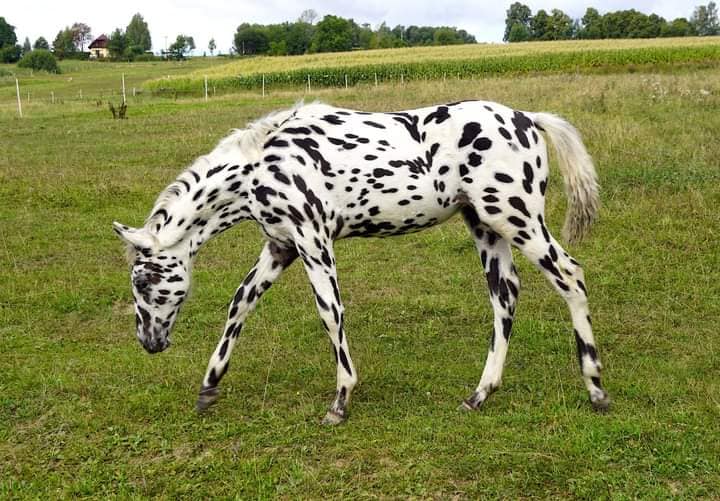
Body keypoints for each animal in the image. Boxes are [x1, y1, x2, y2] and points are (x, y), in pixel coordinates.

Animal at [115, 99, 612, 424]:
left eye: (143, 282)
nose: (149, 341)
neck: (261, 164)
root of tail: (529, 119)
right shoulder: (280, 247)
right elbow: (241, 303)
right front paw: (209, 386)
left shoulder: (313, 241)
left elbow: (330, 312)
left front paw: (340, 401)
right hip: (486, 226)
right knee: (505, 296)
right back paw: (480, 394)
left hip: (515, 217)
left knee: (570, 276)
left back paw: (595, 389)